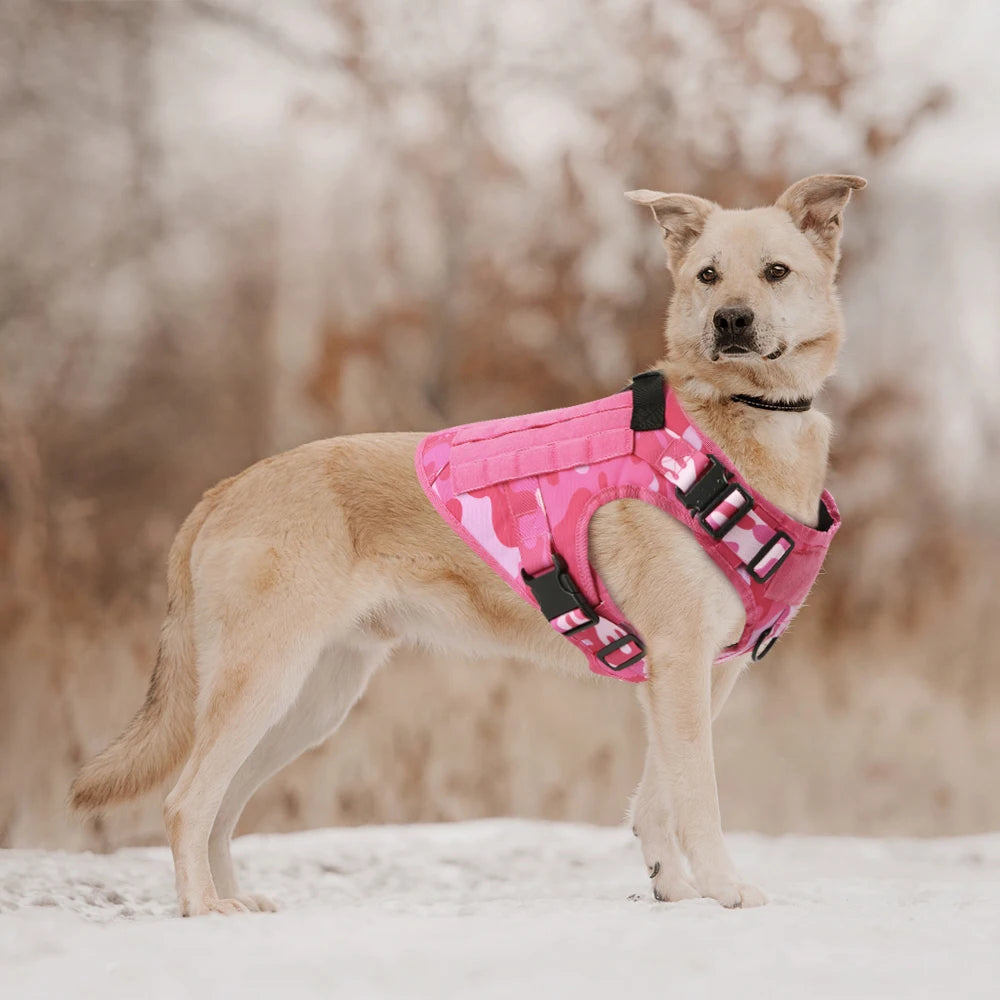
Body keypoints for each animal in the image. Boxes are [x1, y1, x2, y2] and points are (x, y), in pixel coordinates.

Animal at [70, 174, 868, 916]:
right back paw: (202, 907)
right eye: (707, 275)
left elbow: (657, 798)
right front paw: (725, 889)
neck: (735, 421)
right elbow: (698, 798)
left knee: (224, 804)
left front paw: (672, 888)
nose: (731, 320)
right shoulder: (679, 663)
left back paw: (235, 902)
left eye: (775, 271)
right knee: (187, 801)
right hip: (263, 680)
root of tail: (225, 489)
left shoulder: (699, 675)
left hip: (309, 700)